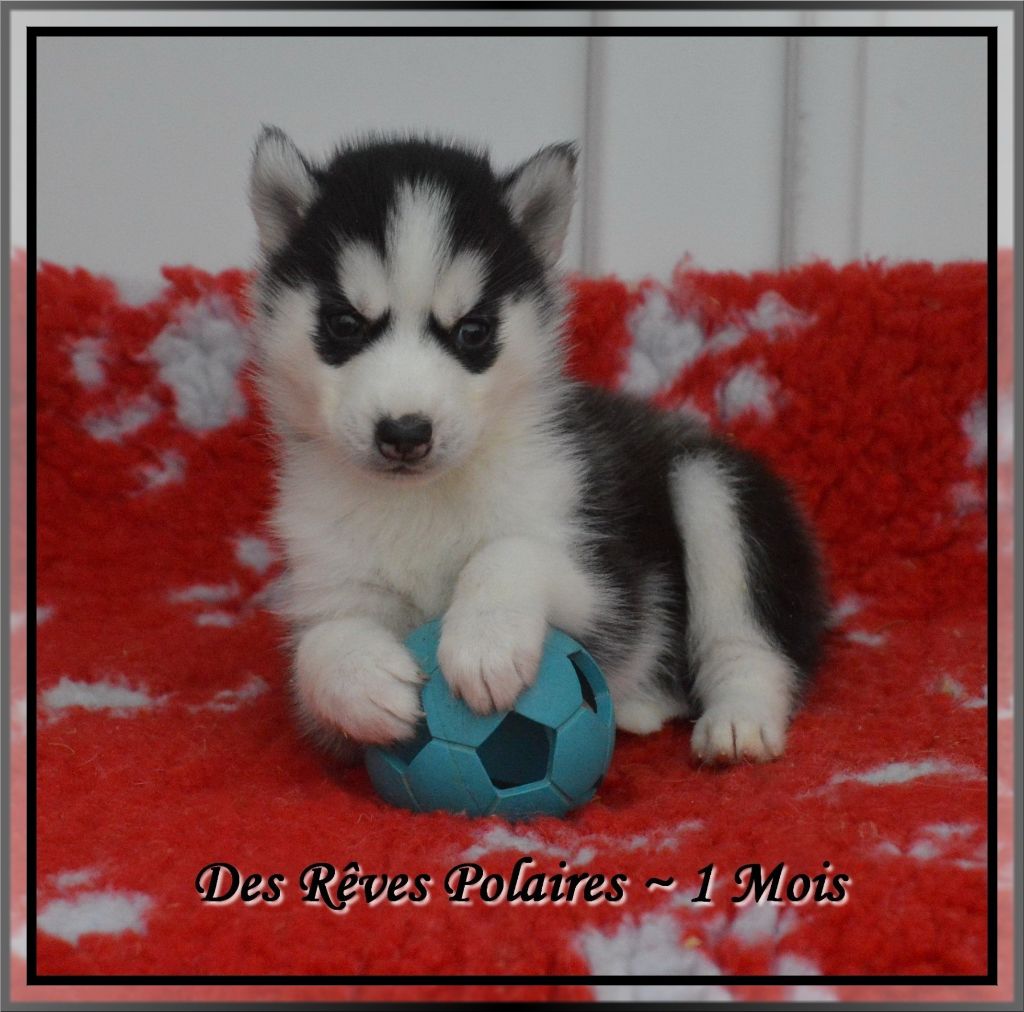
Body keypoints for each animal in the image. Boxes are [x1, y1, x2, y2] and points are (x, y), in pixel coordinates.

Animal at [247, 128, 827, 767]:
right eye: (346, 324)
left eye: (472, 332)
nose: (405, 433)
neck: (422, 500)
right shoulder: (331, 582)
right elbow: (318, 644)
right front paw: (362, 677)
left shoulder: (604, 583)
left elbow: (512, 552)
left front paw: (486, 640)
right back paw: (642, 706)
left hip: (712, 485)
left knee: (746, 640)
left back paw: (737, 721)